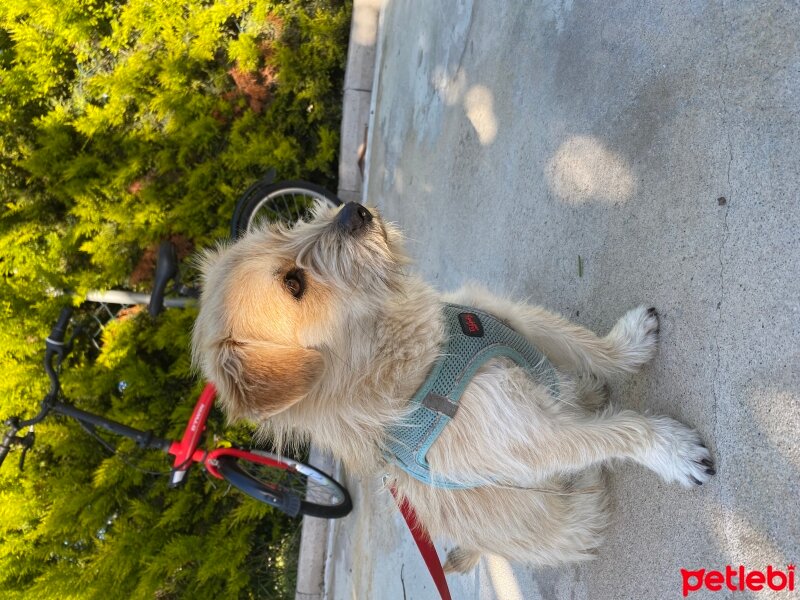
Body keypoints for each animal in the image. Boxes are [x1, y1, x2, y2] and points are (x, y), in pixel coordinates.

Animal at [191, 202, 716, 572]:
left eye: (286, 227)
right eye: (294, 283)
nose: (354, 209)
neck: (423, 360)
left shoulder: (514, 322)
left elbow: (585, 345)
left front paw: (629, 345)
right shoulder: (528, 440)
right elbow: (616, 432)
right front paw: (670, 450)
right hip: (564, 519)